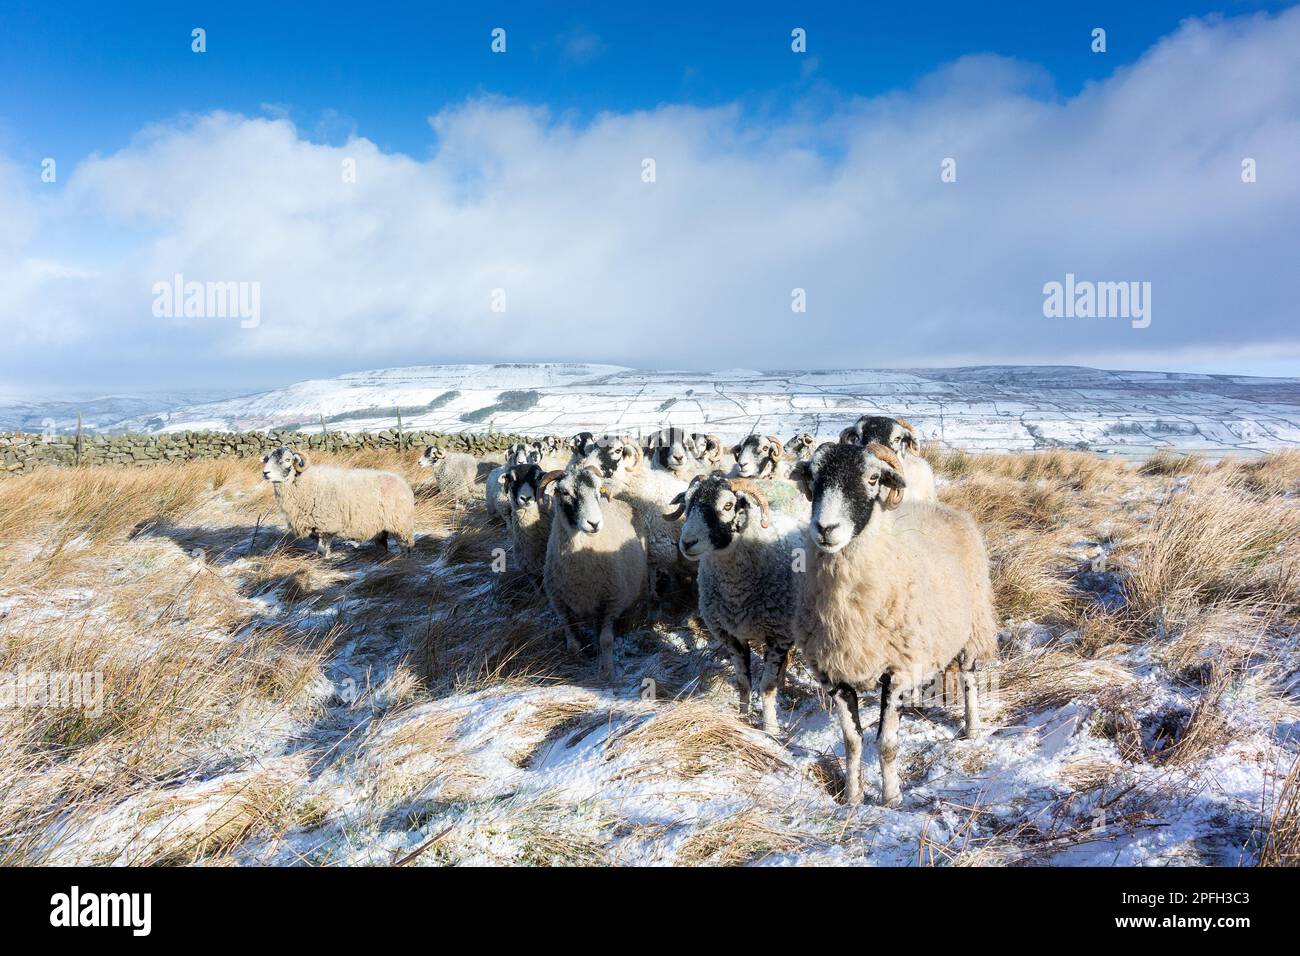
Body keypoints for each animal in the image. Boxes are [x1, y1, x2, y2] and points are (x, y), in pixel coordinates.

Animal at [266, 447, 418, 561]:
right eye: (268, 459)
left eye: (287, 459)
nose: (265, 473)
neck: (301, 482)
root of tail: (403, 483)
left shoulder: (327, 526)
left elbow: (321, 552)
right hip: (381, 527)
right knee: (382, 544)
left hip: (401, 524)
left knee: (406, 546)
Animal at [535, 465, 647, 681]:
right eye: (564, 492)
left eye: (598, 491)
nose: (594, 524)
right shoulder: (559, 603)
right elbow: (571, 638)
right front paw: (575, 660)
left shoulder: (612, 600)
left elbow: (606, 640)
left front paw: (607, 671)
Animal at [670, 476, 800, 738]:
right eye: (686, 503)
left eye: (728, 506)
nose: (687, 543)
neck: (737, 595)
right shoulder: (730, 634)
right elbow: (743, 682)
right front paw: (742, 719)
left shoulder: (778, 634)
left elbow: (767, 686)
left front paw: (770, 729)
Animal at [790, 442, 993, 806]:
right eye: (812, 476)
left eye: (873, 478)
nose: (825, 529)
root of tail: (937, 506)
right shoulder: (835, 674)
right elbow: (852, 741)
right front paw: (852, 798)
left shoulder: (896, 670)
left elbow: (886, 743)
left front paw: (890, 799)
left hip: (973, 624)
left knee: (969, 678)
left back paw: (972, 728)